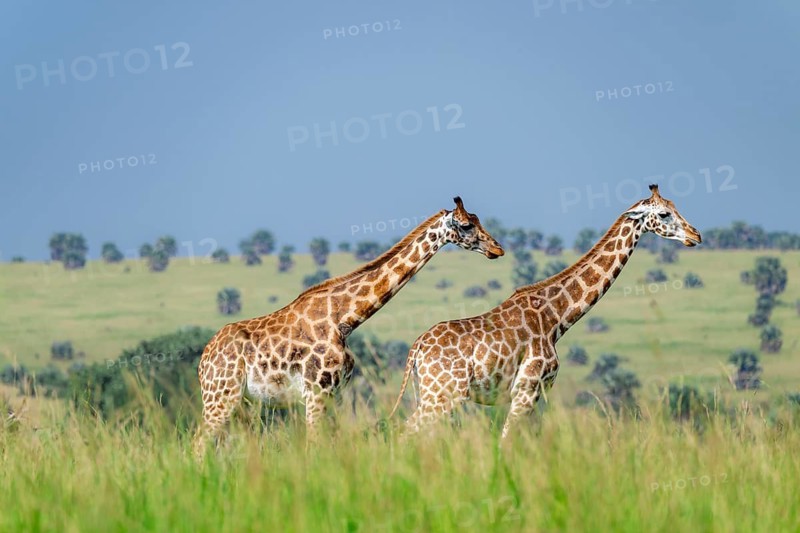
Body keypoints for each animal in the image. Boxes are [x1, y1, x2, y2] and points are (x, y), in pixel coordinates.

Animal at [192, 197, 504, 457]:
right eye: (466, 225)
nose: (497, 249)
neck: (345, 319)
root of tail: (204, 358)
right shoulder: (316, 392)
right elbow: (314, 446)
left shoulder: (334, 394)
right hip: (221, 395)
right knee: (197, 443)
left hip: (239, 402)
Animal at [390, 185, 702, 438]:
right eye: (664, 214)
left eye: (675, 207)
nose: (695, 235)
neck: (557, 317)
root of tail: (417, 348)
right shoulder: (527, 391)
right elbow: (507, 442)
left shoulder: (536, 394)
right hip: (443, 394)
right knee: (407, 431)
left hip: (429, 393)